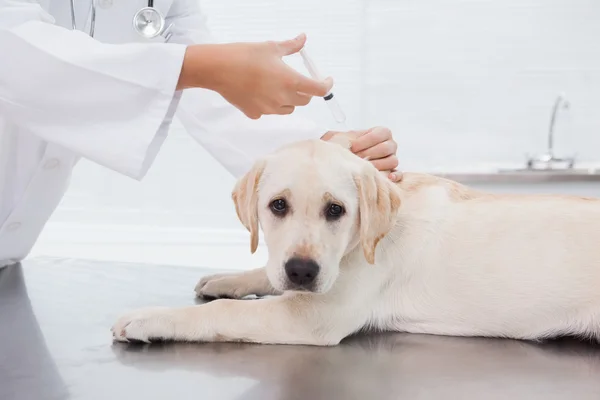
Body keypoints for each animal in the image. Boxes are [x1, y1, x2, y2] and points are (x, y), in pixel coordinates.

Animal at [110, 138, 600, 344]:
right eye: (277, 206)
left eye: (336, 210)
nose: (302, 271)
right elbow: (265, 273)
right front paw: (228, 278)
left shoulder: (312, 317)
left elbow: (226, 313)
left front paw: (148, 318)